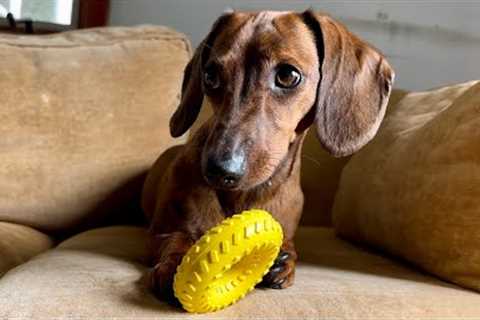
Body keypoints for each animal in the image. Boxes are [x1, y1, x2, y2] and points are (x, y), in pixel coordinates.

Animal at [142, 9, 394, 300]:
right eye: (210, 75)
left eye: (288, 75)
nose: (219, 170)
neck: (241, 197)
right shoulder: (160, 232)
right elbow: (175, 238)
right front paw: (177, 263)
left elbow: (290, 246)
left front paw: (283, 260)